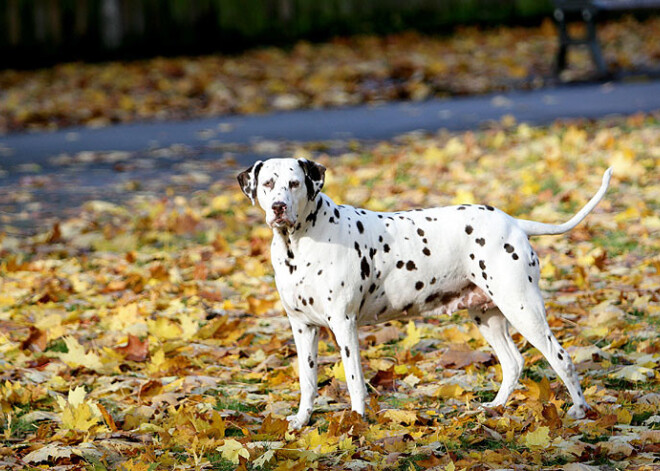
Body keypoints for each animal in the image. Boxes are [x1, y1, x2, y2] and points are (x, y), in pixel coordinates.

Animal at [237, 157, 612, 430]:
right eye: (268, 183)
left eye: (294, 183)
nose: (279, 207)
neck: (299, 245)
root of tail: (515, 223)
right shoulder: (302, 328)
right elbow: (307, 381)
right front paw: (301, 421)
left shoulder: (344, 326)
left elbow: (355, 381)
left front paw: (356, 422)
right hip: (487, 316)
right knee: (513, 363)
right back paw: (494, 407)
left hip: (523, 308)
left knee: (561, 357)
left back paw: (580, 410)